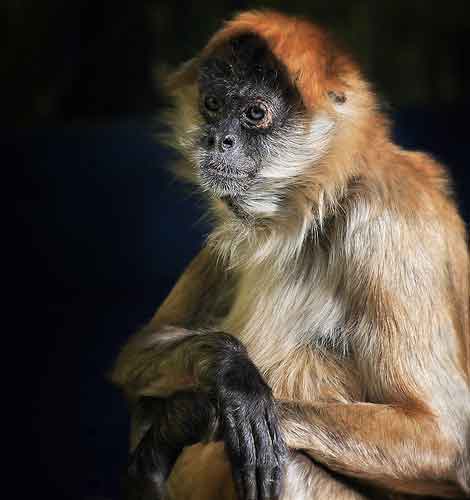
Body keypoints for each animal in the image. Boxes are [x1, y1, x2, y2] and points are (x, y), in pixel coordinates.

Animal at [111, 8, 470, 500]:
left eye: (255, 113)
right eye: (213, 105)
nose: (217, 140)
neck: (319, 204)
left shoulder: (387, 222)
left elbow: (445, 440)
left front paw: (194, 415)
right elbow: (139, 351)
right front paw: (225, 381)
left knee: (294, 462)